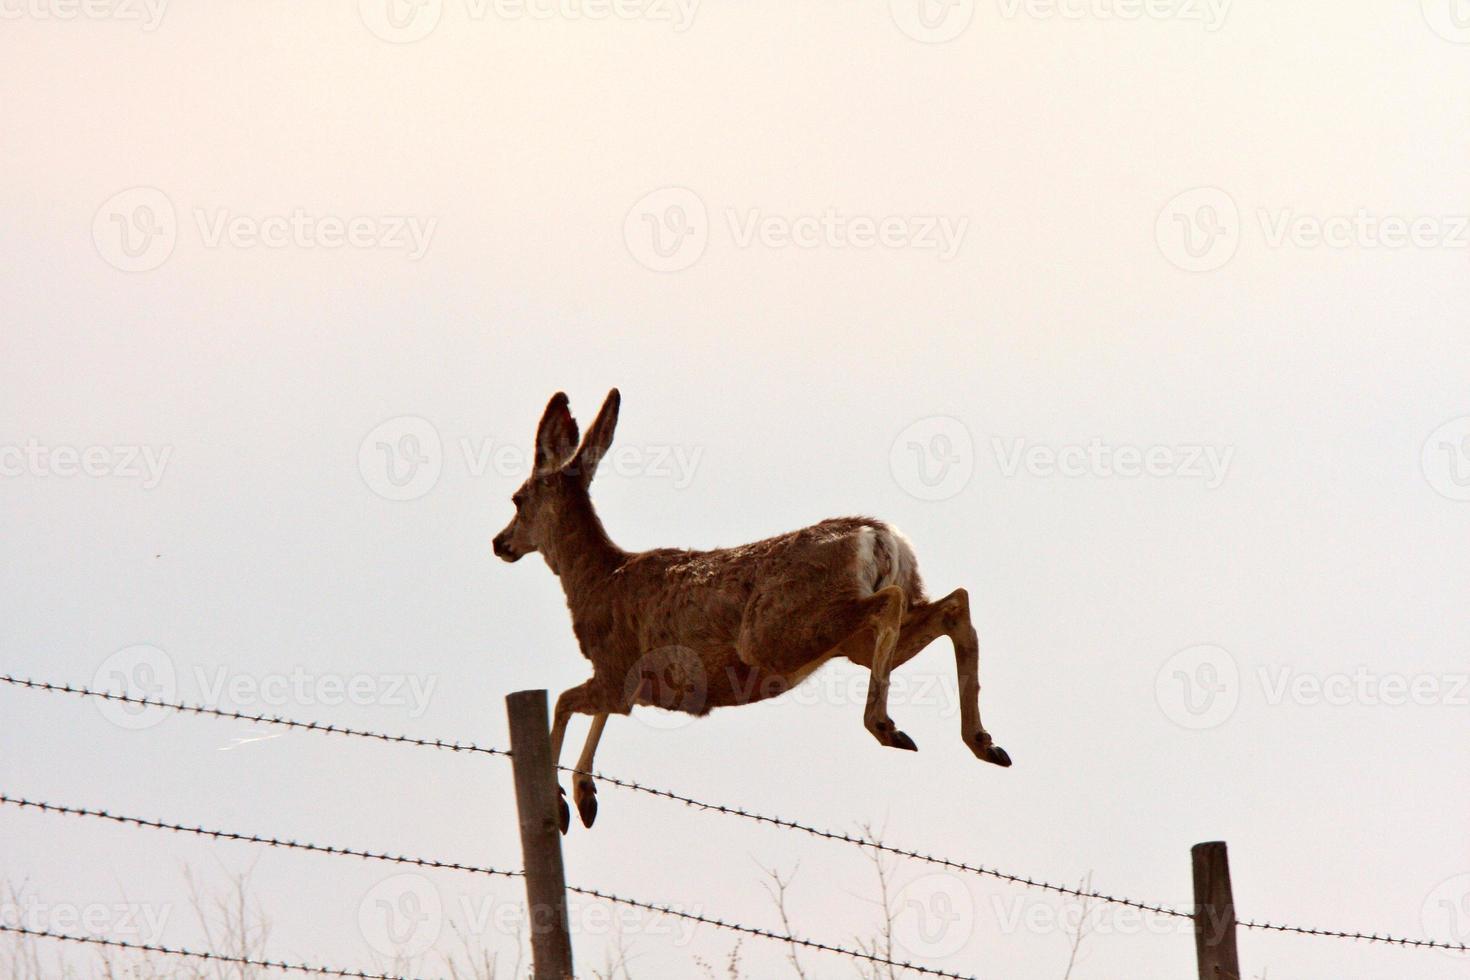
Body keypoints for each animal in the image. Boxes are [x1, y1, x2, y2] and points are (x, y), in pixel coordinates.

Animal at [493, 387, 1011, 834]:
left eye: (518, 499)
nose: (500, 542)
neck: (596, 580)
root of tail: (879, 537)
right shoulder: (624, 680)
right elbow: (591, 713)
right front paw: (584, 798)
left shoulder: (617, 666)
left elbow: (565, 703)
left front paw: (562, 803)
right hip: (850, 638)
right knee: (954, 603)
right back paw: (984, 742)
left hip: (777, 634)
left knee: (895, 603)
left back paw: (886, 726)